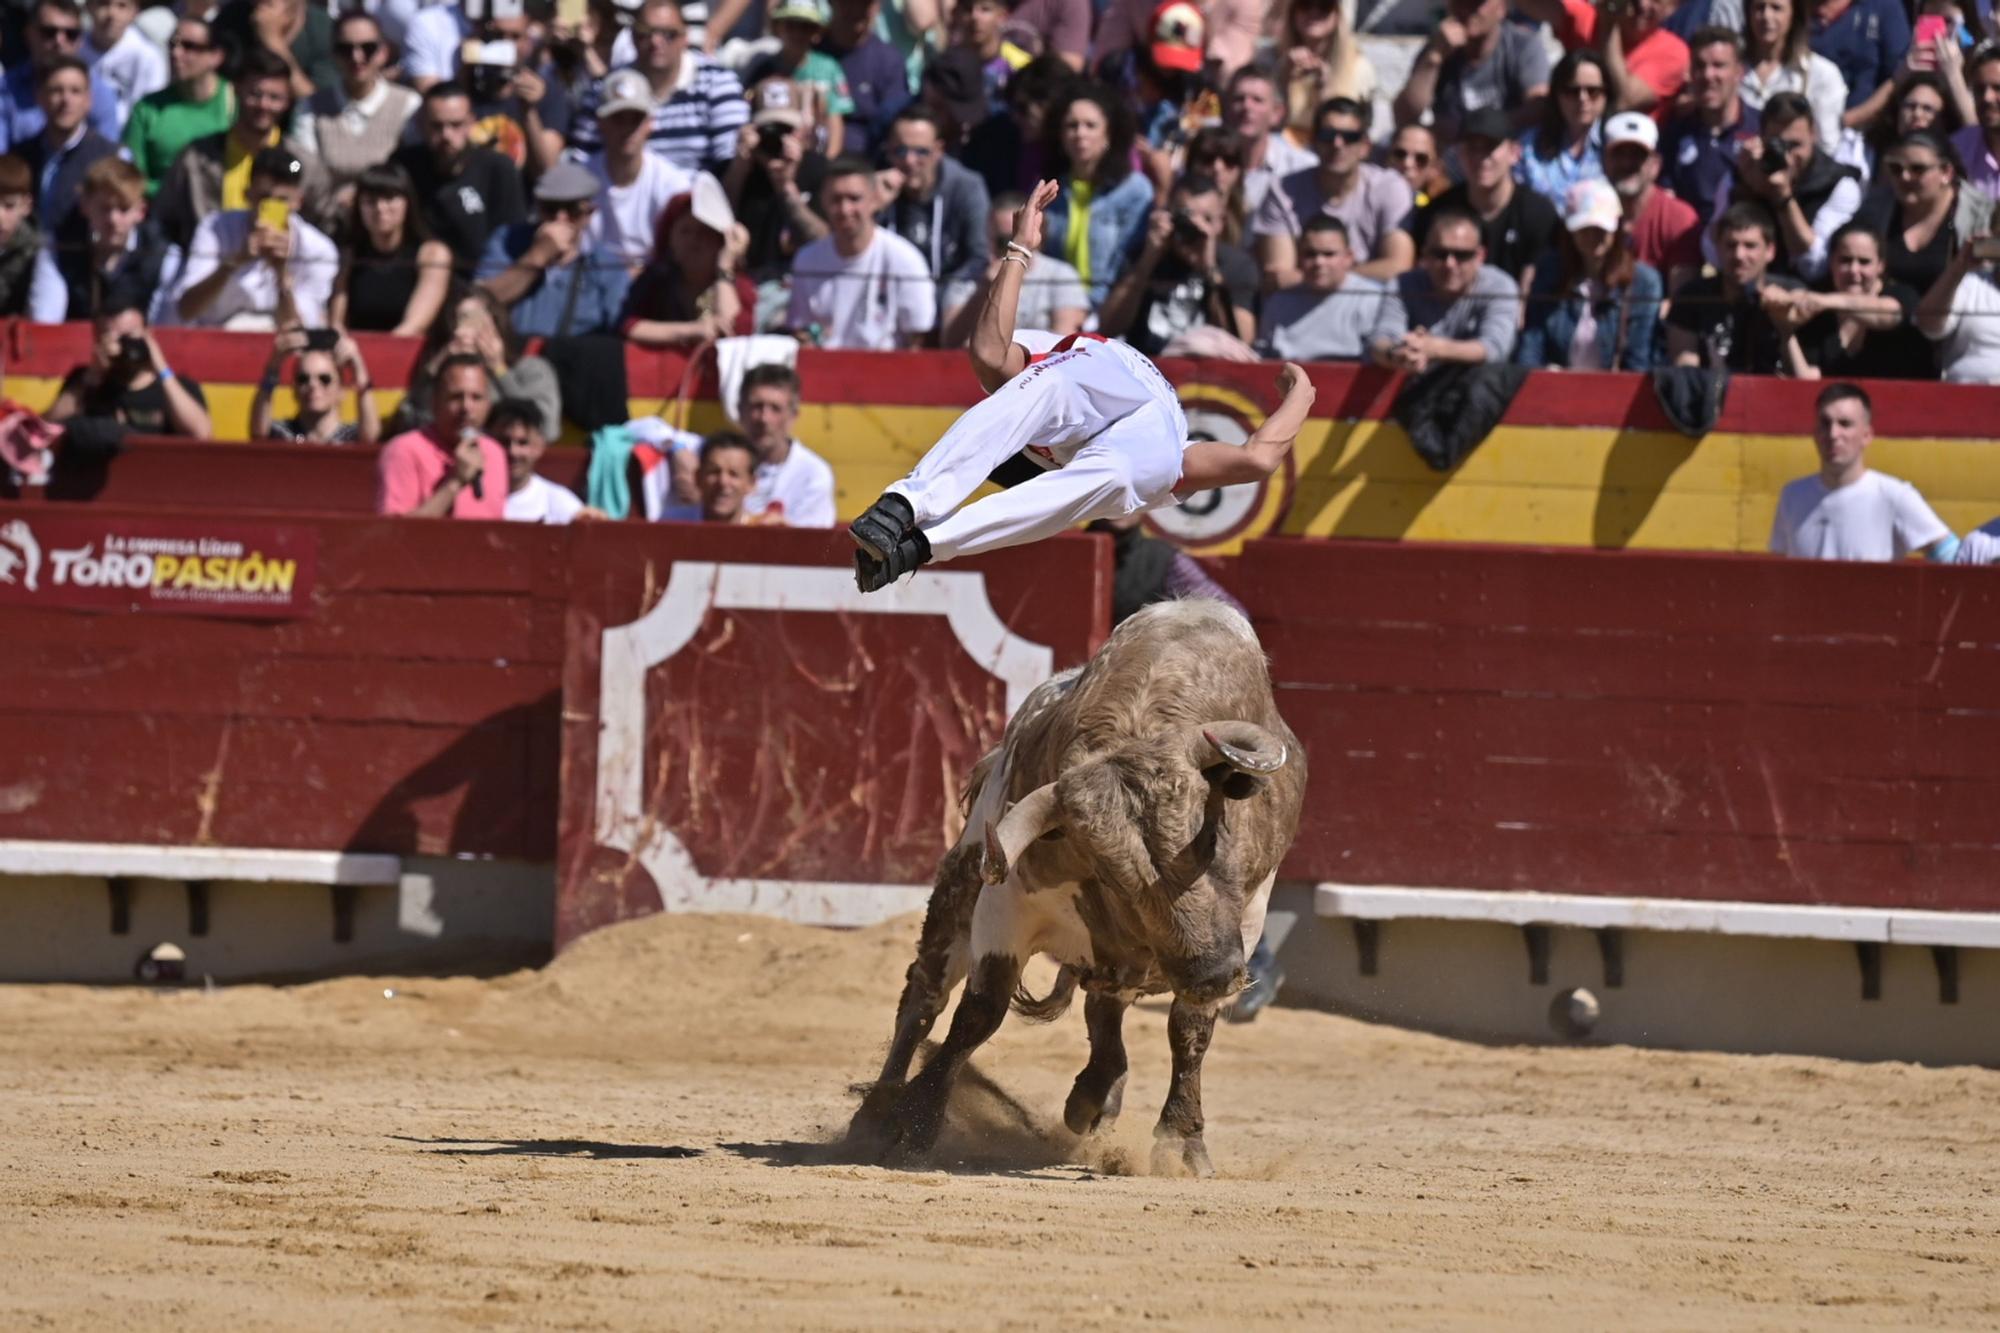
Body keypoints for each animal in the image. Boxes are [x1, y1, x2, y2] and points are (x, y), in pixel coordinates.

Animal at [848, 596, 1304, 1168]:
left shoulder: (1245, 919)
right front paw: (915, 1119)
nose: (1216, 976)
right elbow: (980, 1011)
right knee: (923, 1000)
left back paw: (1095, 1096)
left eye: (1213, 834)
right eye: (1111, 875)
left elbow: (1190, 1029)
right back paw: (875, 1113)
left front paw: (1181, 1142)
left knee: (1105, 1006)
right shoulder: (1006, 906)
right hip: (957, 898)